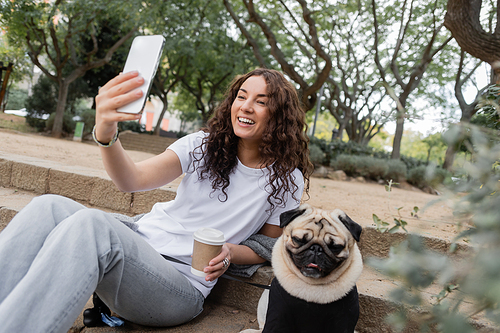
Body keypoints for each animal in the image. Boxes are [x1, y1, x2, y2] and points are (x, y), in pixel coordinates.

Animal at [240, 202, 362, 332]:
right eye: (298, 240)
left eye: (335, 247)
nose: (316, 248)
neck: (311, 286)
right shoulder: (278, 313)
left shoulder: (344, 319)